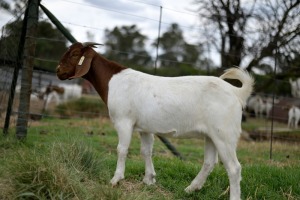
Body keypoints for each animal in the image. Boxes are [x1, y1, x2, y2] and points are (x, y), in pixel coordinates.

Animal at [55, 42, 253, 200]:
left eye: (74, 54)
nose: (58, 71)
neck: (113, 81)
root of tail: (236, 92)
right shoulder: (145, 128)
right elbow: (146, 151)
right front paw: (149, 179)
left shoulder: (124, 121)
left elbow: (121, 149)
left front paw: (116, 180)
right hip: (211, 135)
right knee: (209, 162)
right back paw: (191, 188)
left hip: (224, 134)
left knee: (234, 168)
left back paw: (232, 196)